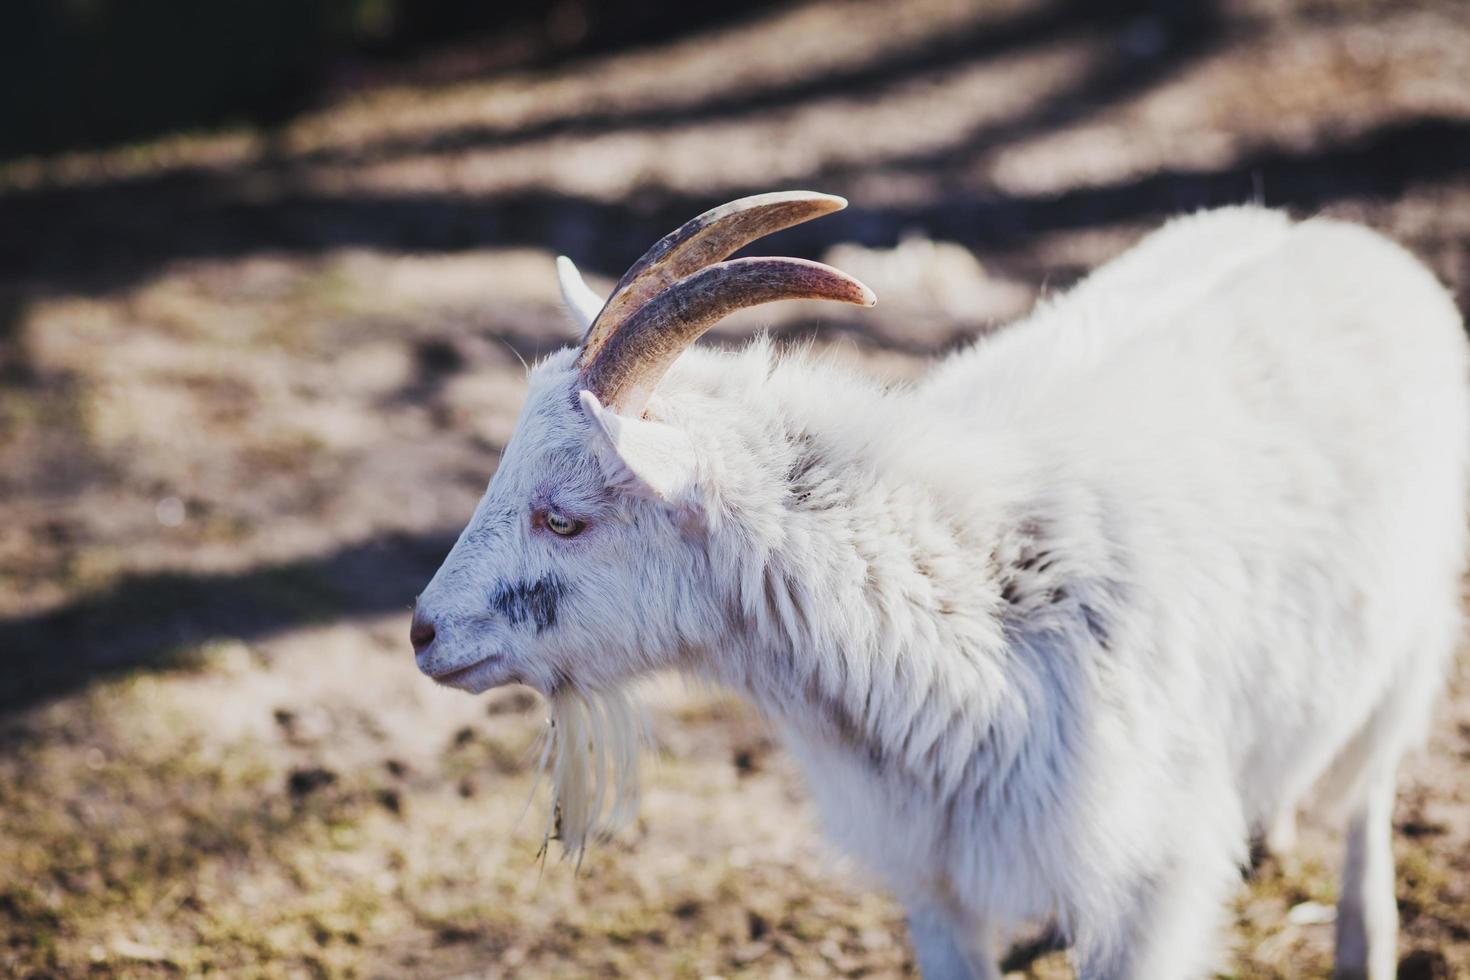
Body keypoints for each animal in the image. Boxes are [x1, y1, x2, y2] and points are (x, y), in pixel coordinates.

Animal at [414, 188, 1470, 975]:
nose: (425, 633)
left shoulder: (1149, 884)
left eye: (563, 516)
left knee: (1370, 795)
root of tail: (1343, 238)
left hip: (1410, 640)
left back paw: (1364, 944)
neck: (970, 607)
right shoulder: (935, 879)